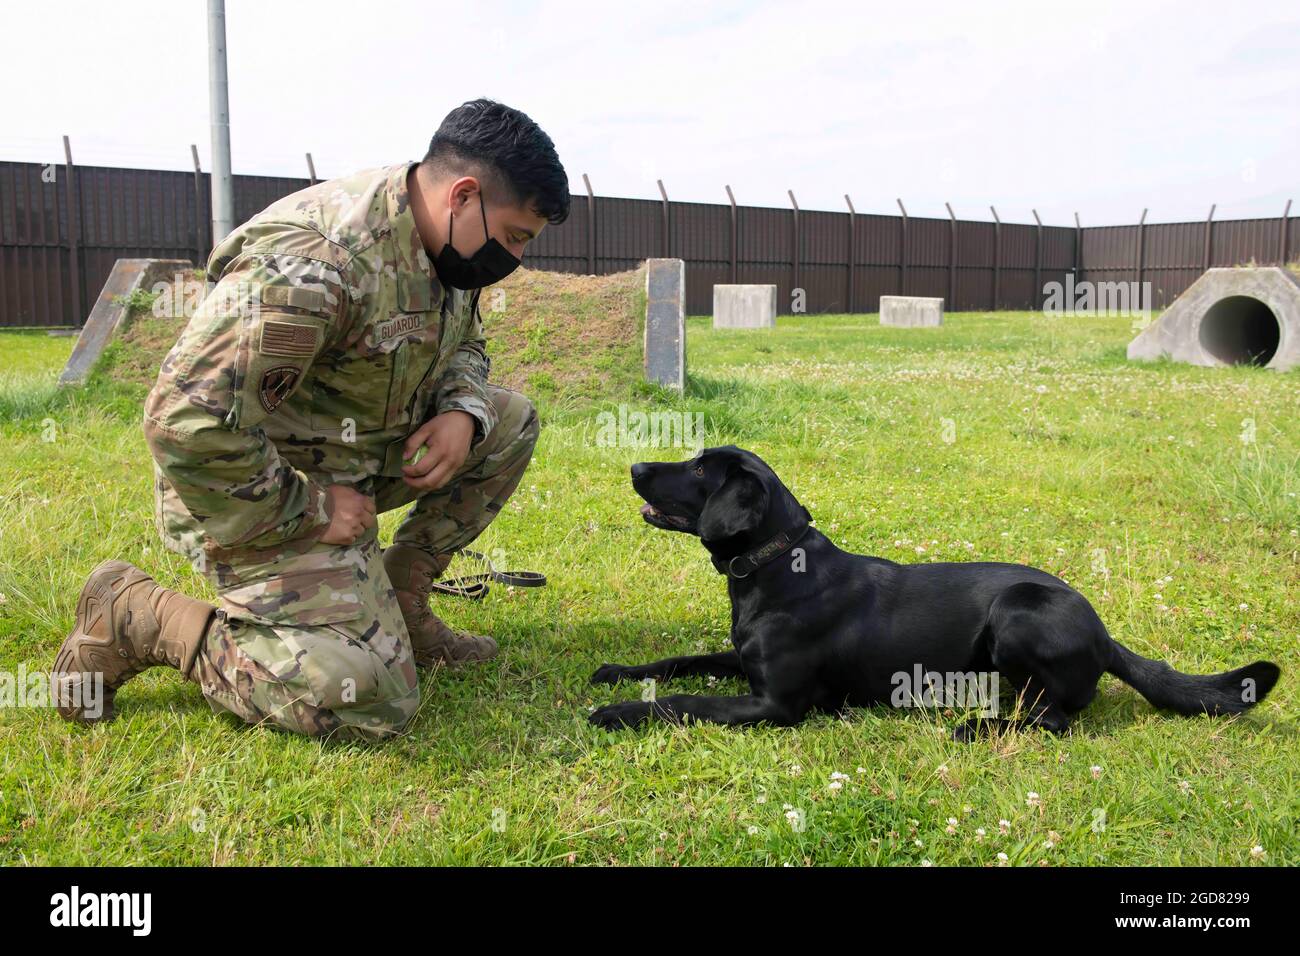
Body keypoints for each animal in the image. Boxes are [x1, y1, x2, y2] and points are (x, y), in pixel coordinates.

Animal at [590, 444, 1279, 738]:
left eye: (697, 468)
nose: (635, 466)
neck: (775, 564)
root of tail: (1106, 635)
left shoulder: (776, 705)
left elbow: (684, 700)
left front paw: (617, 713)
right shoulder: (740, 661)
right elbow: (681, 662)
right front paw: (617, 673)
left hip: (1017, 612)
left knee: (1054, 718)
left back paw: (974, 728)